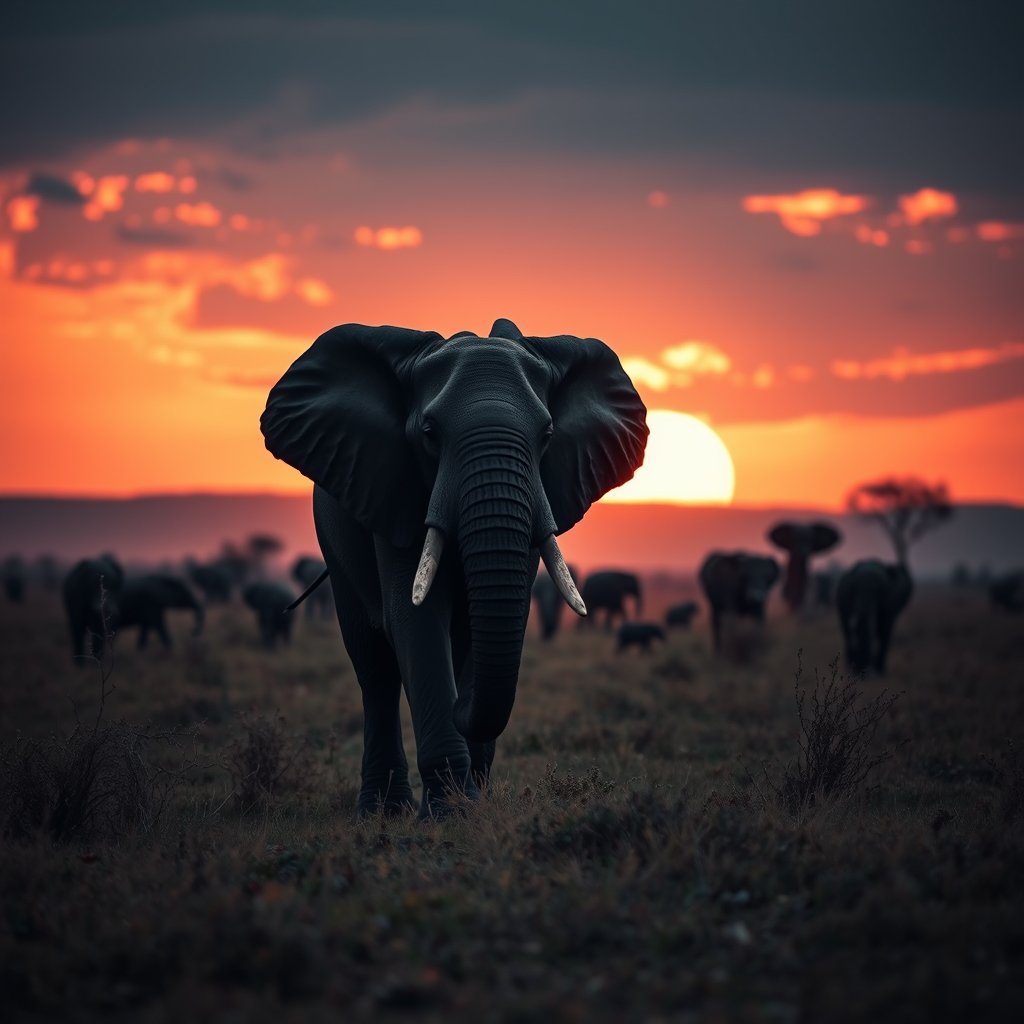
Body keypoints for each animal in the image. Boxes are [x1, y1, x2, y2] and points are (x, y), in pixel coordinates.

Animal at [260, 318, 647, 818]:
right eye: (429, 432)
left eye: (546, 434)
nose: (463, 710)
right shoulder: (396, 491)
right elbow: (416, 620)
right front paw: (447, 815)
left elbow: (489, 624)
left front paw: (470, 807)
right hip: (334, 538)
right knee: (374, 666)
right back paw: (382, 811)